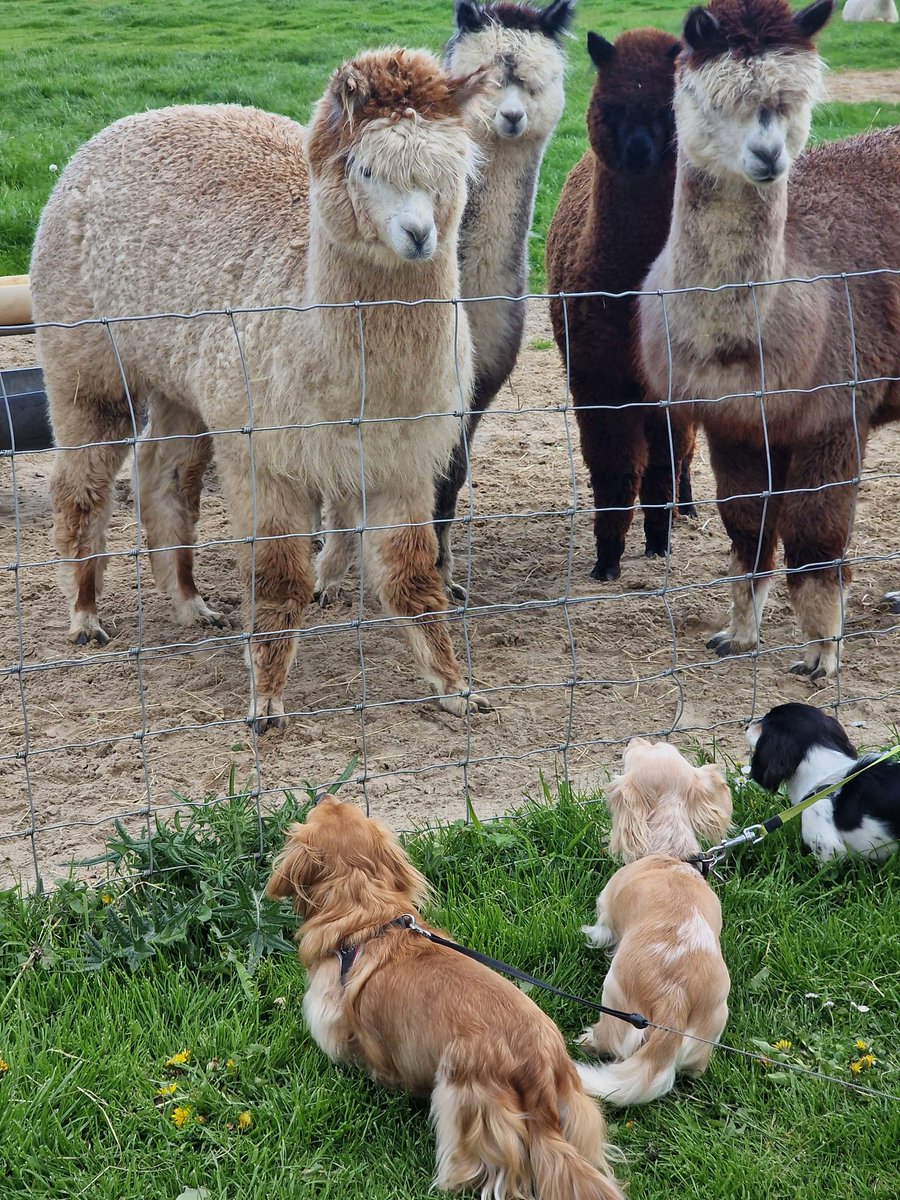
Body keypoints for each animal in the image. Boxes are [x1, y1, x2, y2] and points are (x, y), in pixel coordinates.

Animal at [264, 796, 624, 1200]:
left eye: (319, 811)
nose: (327, 796)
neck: (365, 915)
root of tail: (538, 1069)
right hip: (576, 1107)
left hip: (459, 1098)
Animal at [578, 739, 734, 1104]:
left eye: (638, 753)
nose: (636, 739)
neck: (668, 855)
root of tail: (671, 1006)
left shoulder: (607, 906)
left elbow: (602, 927)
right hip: (714, 1021)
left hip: (613, 999)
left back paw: (589, 1040)